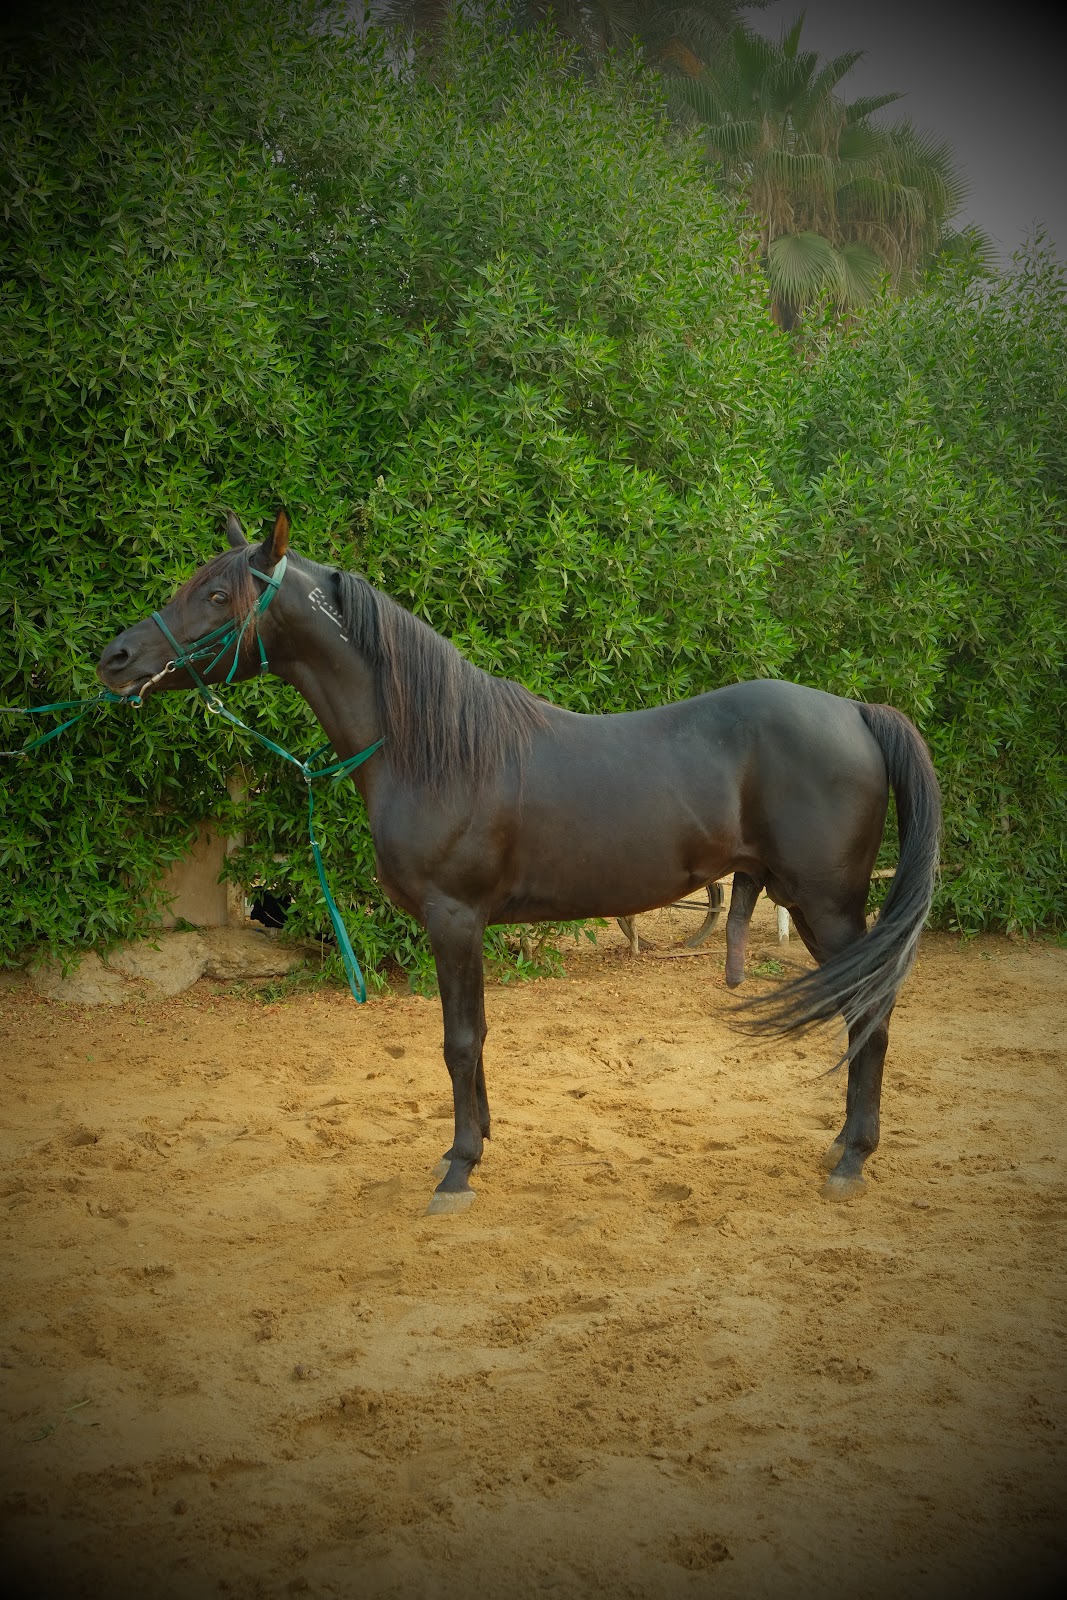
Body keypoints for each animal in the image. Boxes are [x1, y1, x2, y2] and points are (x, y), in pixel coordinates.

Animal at [98, 509, 941, 1211]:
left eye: (216, 594)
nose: (115, 657)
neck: (432, 747)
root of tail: (855, 711)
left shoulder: (453, 919)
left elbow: (458, 1040)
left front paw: (458, 1168)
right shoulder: (462, 927)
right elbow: (474, 1037)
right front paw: (476, 1142)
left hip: (826, 904)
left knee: (868, 1011)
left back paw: (851, 1159)